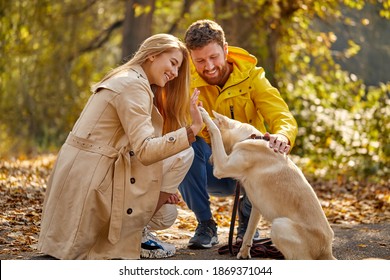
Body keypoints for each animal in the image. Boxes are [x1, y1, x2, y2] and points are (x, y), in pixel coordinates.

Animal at [201, 107, 336, 260]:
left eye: (209, 140)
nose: (210, 161)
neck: (249, 137)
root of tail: (326, 251)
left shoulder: (221, 167)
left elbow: (215, 131)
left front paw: (203, 113)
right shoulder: (256, 207)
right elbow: (249, 233)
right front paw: (243, 253)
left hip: (279, 225)